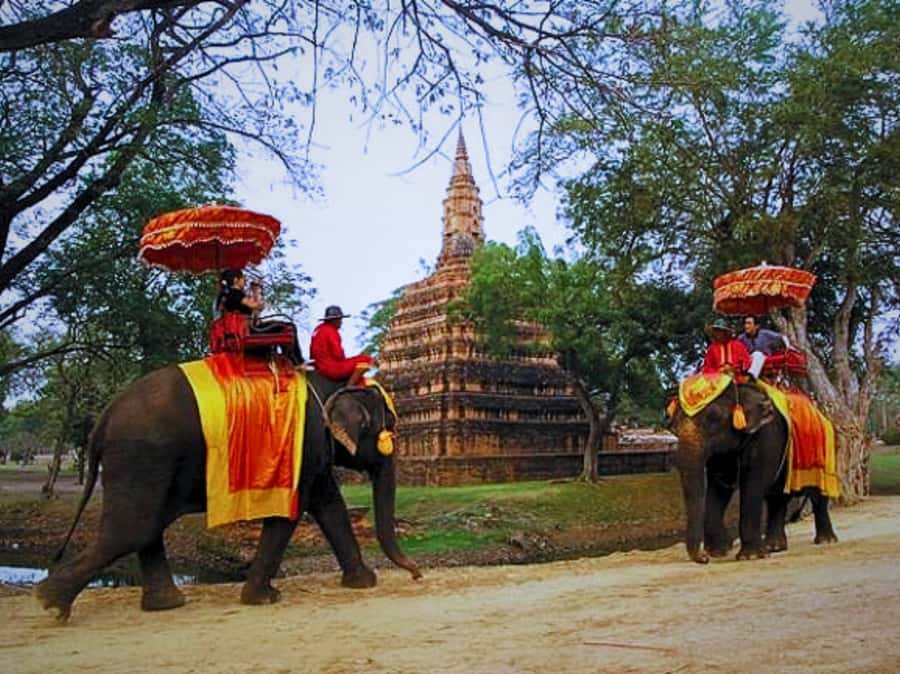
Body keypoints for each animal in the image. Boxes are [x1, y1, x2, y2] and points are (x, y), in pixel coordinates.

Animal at [35, 366, 421, 621]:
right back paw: (50, 603)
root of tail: (103, 418)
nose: (417, 574)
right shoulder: (304, 441)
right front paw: (264, 599)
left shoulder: (314, 450)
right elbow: (292, 511)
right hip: (142, 457)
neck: (331, 383)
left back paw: (165, 605)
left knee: (146, 528)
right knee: (132, 530)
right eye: (390, 428)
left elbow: (329, 505)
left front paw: (363, 583)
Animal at [668, 382, 838, 564]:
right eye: (674, 426)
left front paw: (750, 557)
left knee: (818, 495)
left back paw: (825, 541)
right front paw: (718, 553)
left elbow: (753, 483)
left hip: (826, 452)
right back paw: (774, 547)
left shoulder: (767, 436)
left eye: (713, 418)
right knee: (777, 497)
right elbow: (721, 485)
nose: (704, 558)